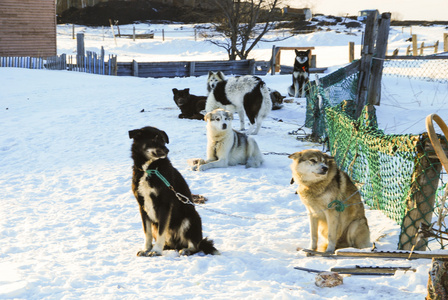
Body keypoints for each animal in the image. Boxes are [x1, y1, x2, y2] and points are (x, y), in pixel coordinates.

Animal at [129, 125, 220, 256]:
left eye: (163, 139)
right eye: (154, 139)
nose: (167, 150)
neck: (151, 169)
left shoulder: (164, 205)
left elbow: (162, 231)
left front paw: (156, 251)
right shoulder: (142, 206)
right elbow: (147, 233)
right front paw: (146, 249)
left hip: (190, 219)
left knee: (195, 245)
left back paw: (186, 249)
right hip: (157, 225)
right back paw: (165, 246)